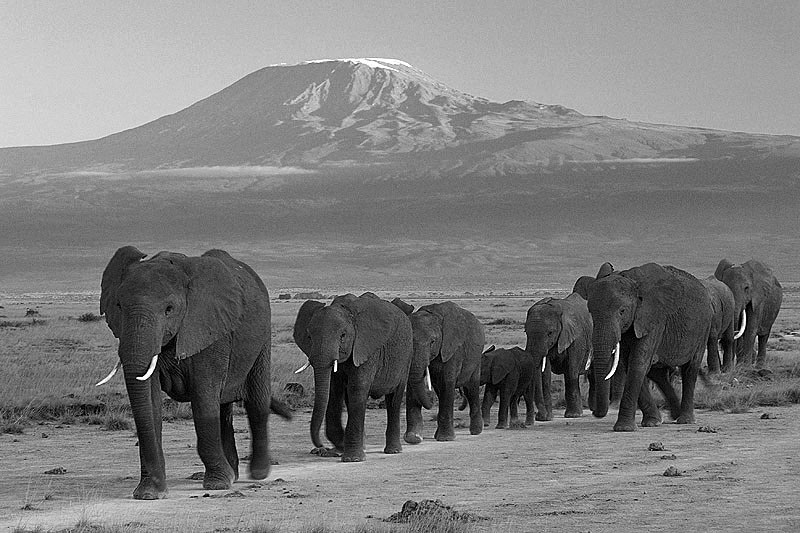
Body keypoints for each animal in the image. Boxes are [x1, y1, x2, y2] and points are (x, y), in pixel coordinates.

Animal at [97, 245, 290, 498]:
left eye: (169, 309)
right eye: (119, 306)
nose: (155, 485)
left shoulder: (209, 328)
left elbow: (203, 399)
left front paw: (218, 484)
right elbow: (151, 402)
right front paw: (150, 493)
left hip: (262, 337)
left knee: (256, 402)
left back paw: (257, 473)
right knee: (224, 409)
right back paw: (234, 474)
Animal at [294, 294, 432, 460]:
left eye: (343, 336)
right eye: (309, 336)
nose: (320, 446)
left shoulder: (366, 348)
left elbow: (357, 388)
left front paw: (352, 458)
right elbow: (334, 389)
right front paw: (340, 449)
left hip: (406, 357)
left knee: (394, 399)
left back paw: (393, 450)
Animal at [396, 302, 484, 442]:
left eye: (432, 341)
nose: (431, 402)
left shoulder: (452, 350)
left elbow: (447, 383)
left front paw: (446, 438)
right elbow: (412, 384)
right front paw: (413, 438)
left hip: (476, 359)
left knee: (471, 389)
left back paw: (476, 431)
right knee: (440, 391)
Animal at [524, 290, 592, 420]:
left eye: (550, 333)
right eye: (526, 332)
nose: (539, 416)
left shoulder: (576, 337)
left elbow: (571, 371)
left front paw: (574, 415)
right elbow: (545, 375)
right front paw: (546, 418)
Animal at [588, 262, 712, 432]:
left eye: (622, 311)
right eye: (590, 312)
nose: (594, 412)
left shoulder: (654, 318)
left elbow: (638, 363)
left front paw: (624, 428)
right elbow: (630, 364)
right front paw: (652, 422)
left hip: (703, 328)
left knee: (690, 369)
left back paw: (685, 420)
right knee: (657, 373)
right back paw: (672, 415)